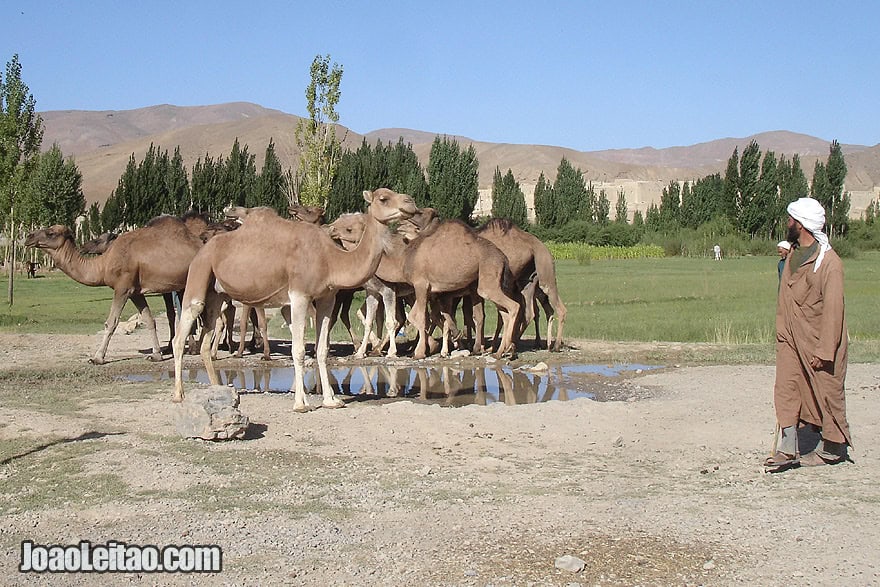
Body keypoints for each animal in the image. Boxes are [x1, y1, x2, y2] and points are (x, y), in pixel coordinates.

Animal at [24, 216, 205, 362]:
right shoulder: (135, 292)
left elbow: (111, 322)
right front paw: (156, 355)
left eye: (50, 233)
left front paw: (97, 358)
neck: (103, 264)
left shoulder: (122, 288)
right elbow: (148, 319)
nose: (28, 237)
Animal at [175, 189, 420, 408]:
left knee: (207, 338)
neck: (331, 260)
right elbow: (299, 350)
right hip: (199, 274)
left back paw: (217, 389)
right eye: (383, 198)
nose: (410, 202)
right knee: (182, 332)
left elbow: (322, 350)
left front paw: (331, 400)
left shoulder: (327, 298)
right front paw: (301, 403)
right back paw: (179, 395)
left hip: (218, 294)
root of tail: (203, 248)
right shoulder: (300, 295)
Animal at [478, 218, 568, 352]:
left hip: (545, 272)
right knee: (532, 312)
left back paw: (554, 346)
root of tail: (540, 245)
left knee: (558, 308)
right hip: (526, 282)